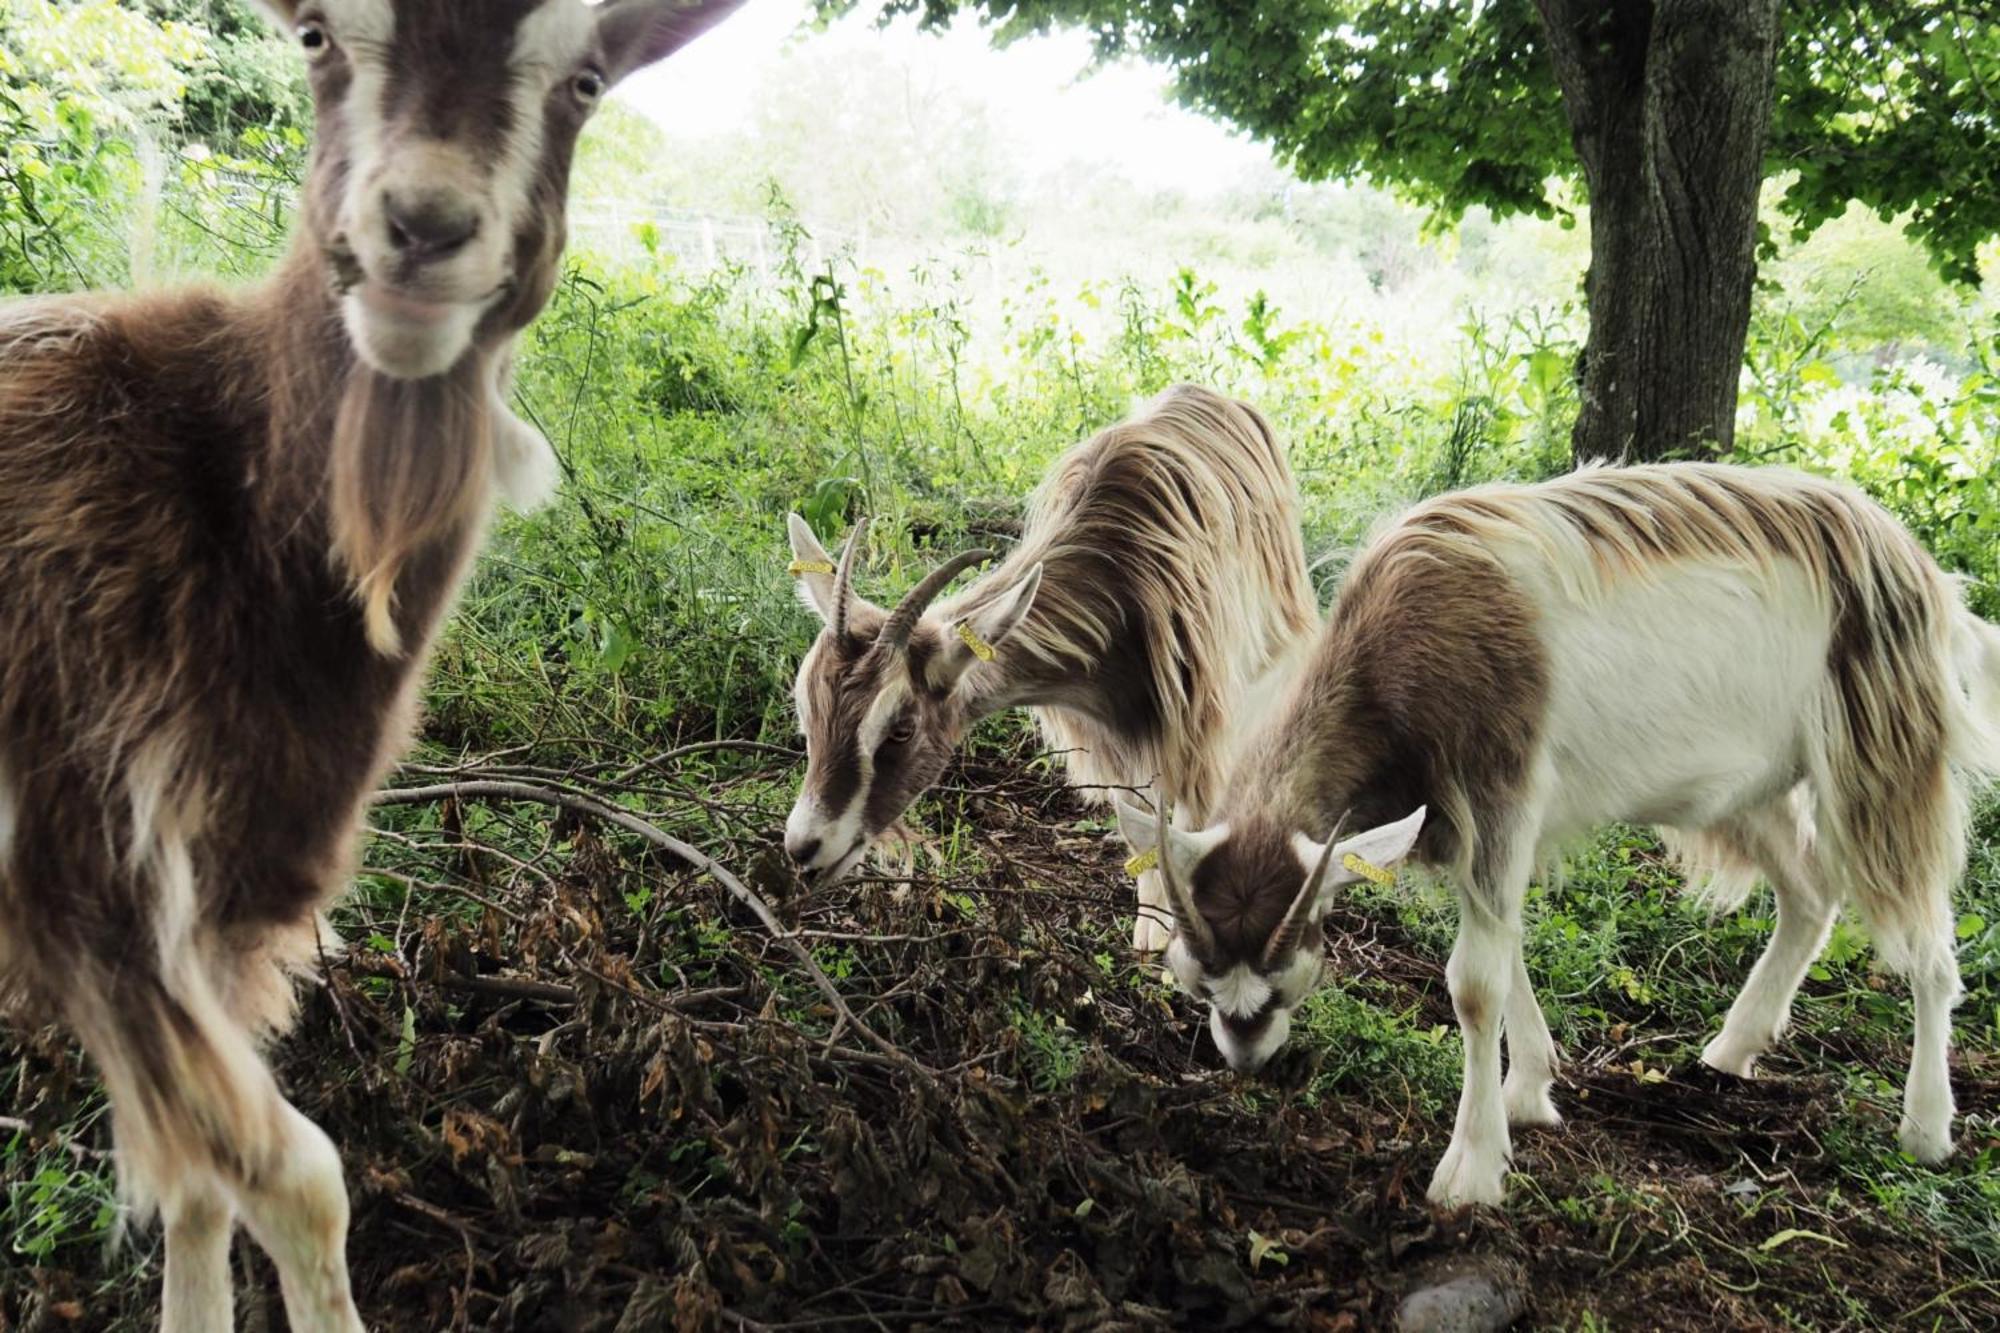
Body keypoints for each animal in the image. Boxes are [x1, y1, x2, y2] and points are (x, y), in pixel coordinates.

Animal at [0, 5, 744, 1320]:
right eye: (315, 37)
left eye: (586, 79)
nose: (423, 227)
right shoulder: (81, 855)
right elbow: (295, 1178)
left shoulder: (228, 899)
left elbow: (199, 1190)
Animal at [784, 378, 1328, 948]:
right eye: (807, 713)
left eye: (901, 729)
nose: (804, 847)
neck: (1120, 594)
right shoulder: (1122, 746)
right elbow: (1142, 831)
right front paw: (1149, 935)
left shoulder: (1198, 732)